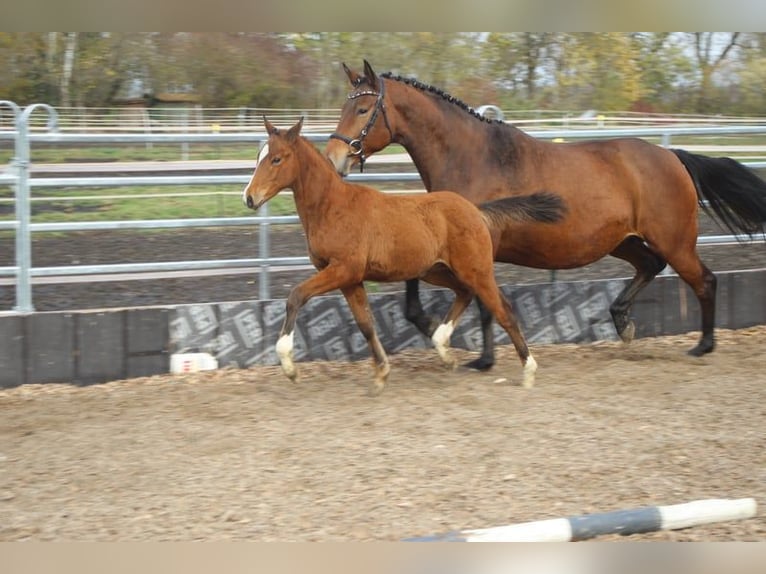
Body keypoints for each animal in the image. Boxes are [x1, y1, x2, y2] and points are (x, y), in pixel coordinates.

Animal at [243, 118, 568, 396]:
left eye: (277, 159)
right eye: (260, 156)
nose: (249, 197)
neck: (333, 207)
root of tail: (476, 210)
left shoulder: (343, 270)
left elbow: (296, 296)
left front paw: (289, 367)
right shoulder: (351, 279)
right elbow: (366, 324)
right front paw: (381, 375)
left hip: (476, 270)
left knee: (504, 310)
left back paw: (528, 371)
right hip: (436, 271)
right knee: (465, 293)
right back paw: (445, 351)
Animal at [328, 60, 766, 372]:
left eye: (363, 108)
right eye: (345, 105)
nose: (334, 159)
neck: (474, 158)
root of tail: (672, 156)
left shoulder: (478, 247)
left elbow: (485, 301)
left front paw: (481, 358)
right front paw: (454, 341)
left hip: (675, 242)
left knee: (704, 281)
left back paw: (702, 345)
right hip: (622, 241)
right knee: (650, 266)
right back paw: (622, 322)